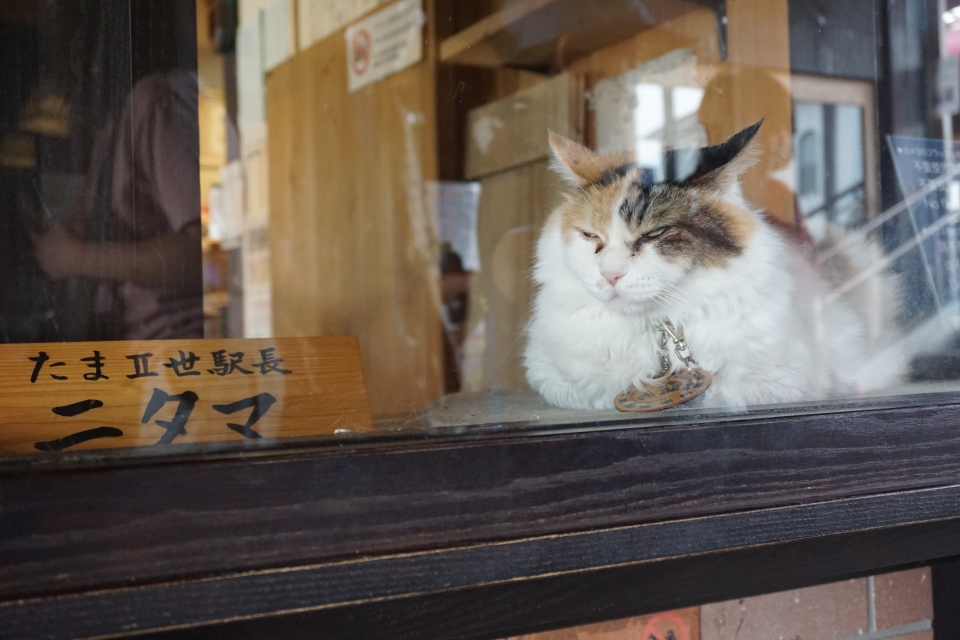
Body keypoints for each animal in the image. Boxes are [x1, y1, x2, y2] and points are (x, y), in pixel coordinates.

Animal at [520, 121, 904, 410]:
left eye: (655, 233)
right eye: (590, 236)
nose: (609, 274)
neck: (658, 331)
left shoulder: (780, 380)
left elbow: (717, 394)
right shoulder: (551, 376)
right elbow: (597, 391)